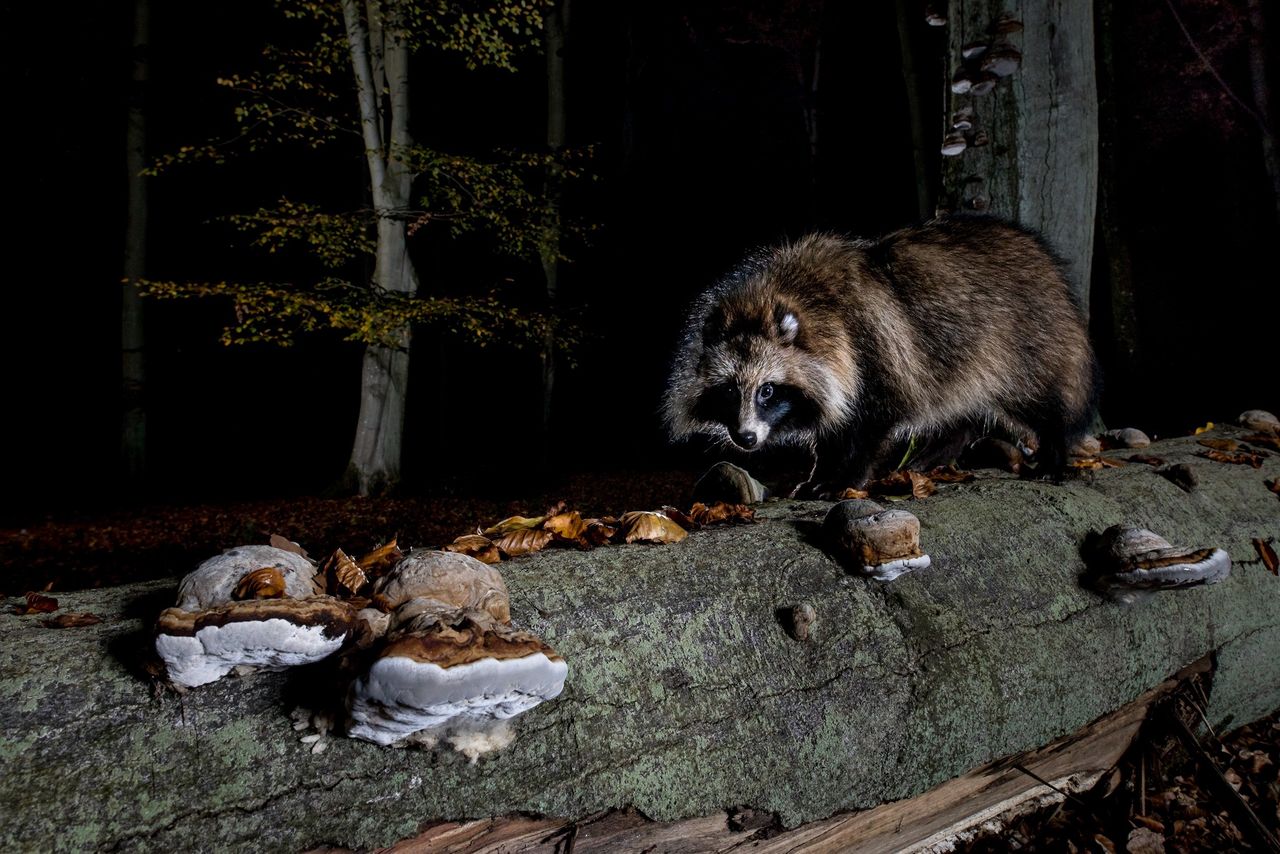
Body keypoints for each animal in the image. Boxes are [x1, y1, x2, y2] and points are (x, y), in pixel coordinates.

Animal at [665, 215, 1095, 494]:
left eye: (767, 391)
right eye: (729, 390)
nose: (746, 437)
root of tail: (1048, 266)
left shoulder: (874, 347)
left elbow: (873, 421)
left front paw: (846, 477)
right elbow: (833, 426)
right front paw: (821, 471)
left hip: (1025, 340)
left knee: (1040, 397)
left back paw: (1054, 448)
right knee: (961, 405)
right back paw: (940, 450)